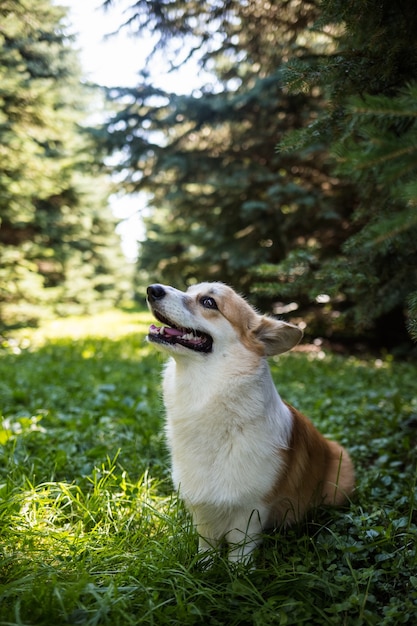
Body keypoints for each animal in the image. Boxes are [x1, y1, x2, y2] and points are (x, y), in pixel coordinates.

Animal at [146, 282, 354, 560]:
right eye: (189, 290)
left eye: (209, 302)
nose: (152, 289)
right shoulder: (203, 507)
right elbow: (206, 547)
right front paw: (204, 566)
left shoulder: (251, 510)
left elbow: (238, 554)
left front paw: (236, 572)